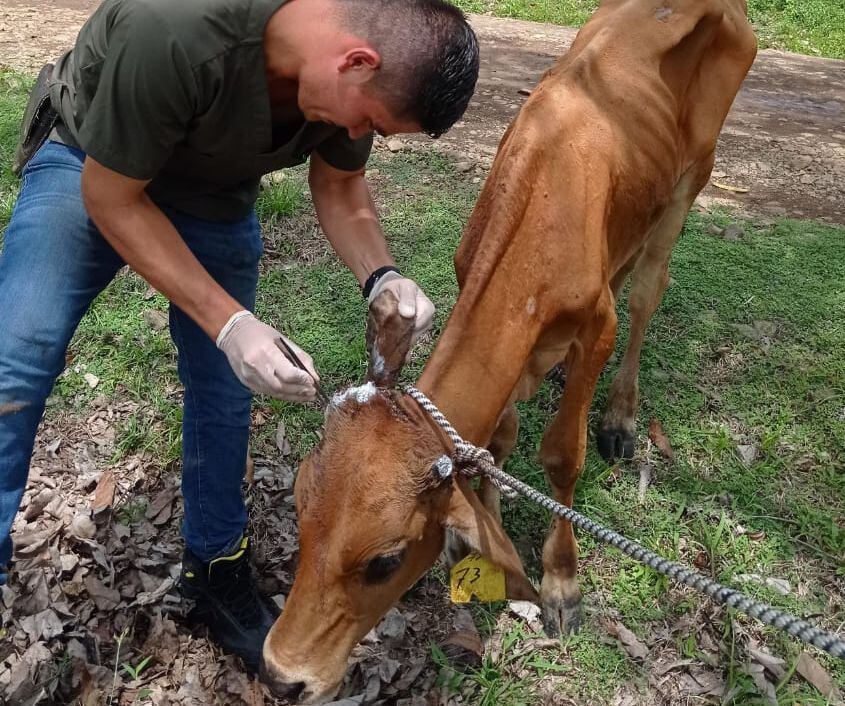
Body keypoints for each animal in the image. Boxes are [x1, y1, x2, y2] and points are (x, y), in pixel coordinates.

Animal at [262, 1, 752, 700]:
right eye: (301, 508)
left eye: (385, 561)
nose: (281, 676)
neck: (541, 208)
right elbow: (497, 438)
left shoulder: (595, 322)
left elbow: (561, 454)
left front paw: (560, 580)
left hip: (692, 177)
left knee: (646, 293)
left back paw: (620, 414)